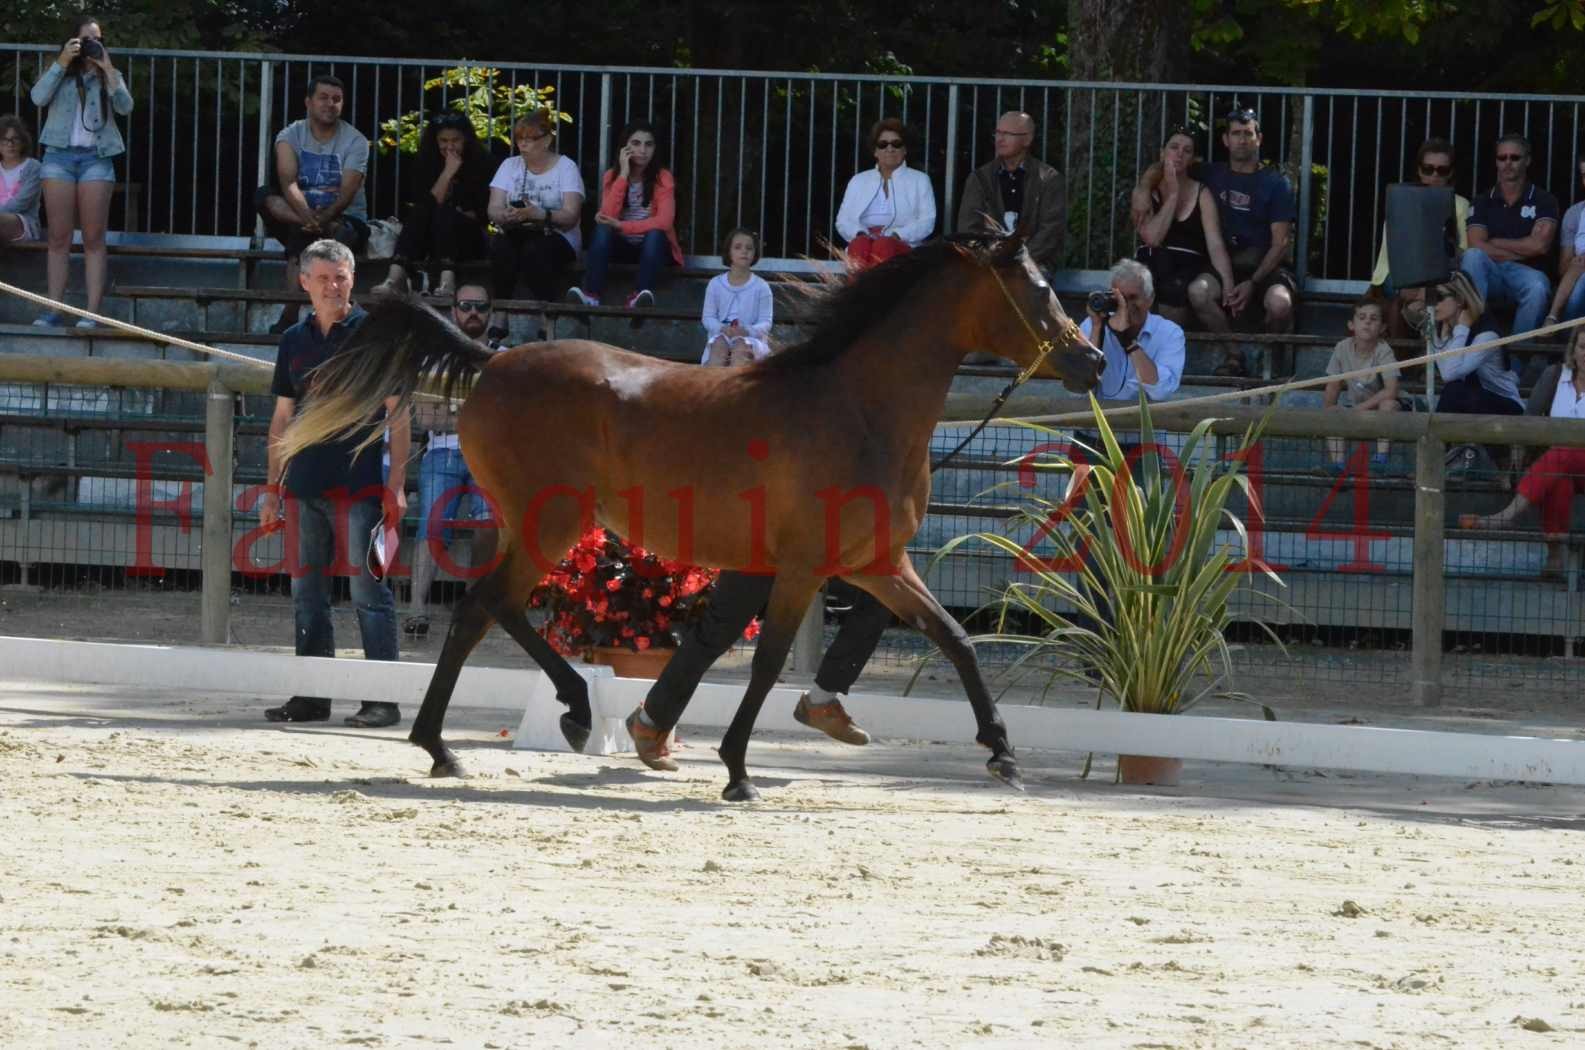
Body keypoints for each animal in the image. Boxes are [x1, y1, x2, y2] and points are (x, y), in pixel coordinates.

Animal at [278, 234, 1103, 802]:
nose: (1091, 361)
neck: (858, 409)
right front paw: (738, 772)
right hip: (551, 522)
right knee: (481, 610)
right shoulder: (802, 568)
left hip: (543, 526)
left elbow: (956, 640)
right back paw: (461, 740)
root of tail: (492, 360)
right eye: (1034, 292)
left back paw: (547, 720)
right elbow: (768, 663)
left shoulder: (878, 565)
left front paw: (1003, 755)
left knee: (494, 608)